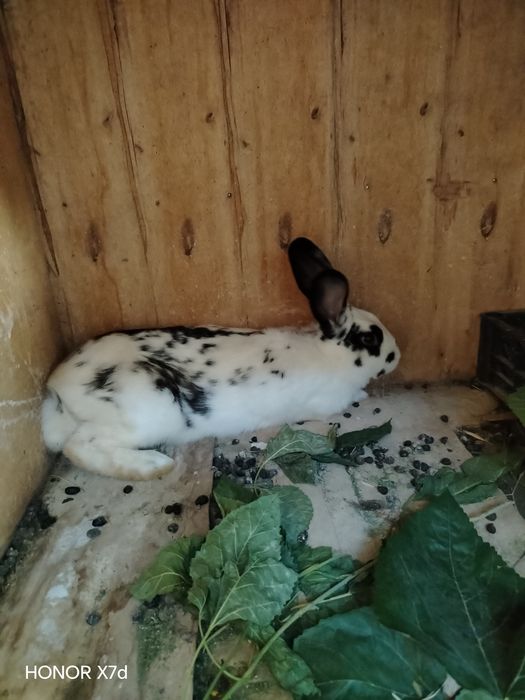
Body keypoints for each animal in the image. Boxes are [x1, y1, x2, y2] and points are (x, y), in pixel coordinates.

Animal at [42, 237, 400, 480]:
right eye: (370, 338)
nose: (396, 356)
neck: (328, 353)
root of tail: (59, 387)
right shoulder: (324, 402)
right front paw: (362, 393)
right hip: (143, 411)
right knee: (79, 447)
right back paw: (154, 466)